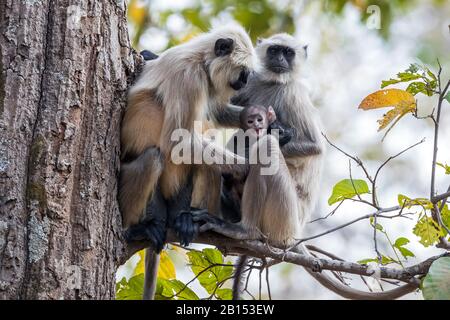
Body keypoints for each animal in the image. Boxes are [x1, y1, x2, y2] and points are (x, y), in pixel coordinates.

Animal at [119, 25, 256, 300]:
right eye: (243, 73)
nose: (246, 82)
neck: (200, 59)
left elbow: (215, 112)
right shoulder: (189, 77)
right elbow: (177, 143)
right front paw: (245, 167)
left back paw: (185, 222)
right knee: (154, 157)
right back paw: (133, 230)